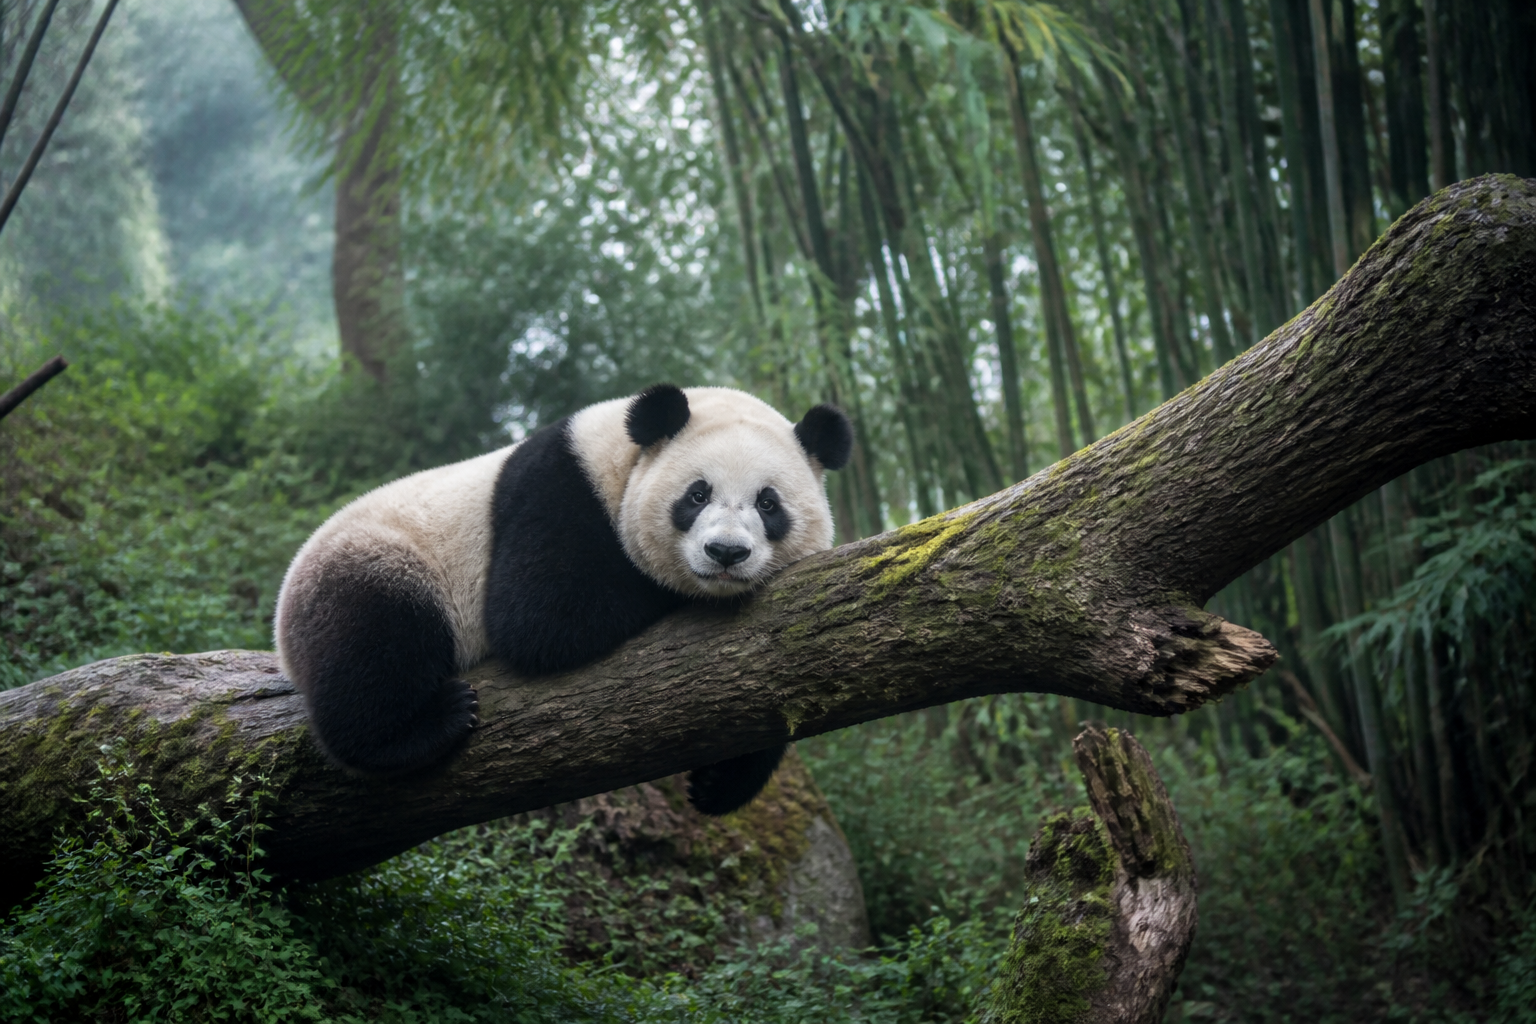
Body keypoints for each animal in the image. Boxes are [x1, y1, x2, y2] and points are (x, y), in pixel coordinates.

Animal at [274, 384, 852, 816]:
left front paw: (719, 783)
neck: (620, 457)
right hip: (378, 564)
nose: (726, 553)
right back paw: (429, 723)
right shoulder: (557, 487)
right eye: (697, 494)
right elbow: (541, 617)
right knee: (373, 647)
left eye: (768, 504)